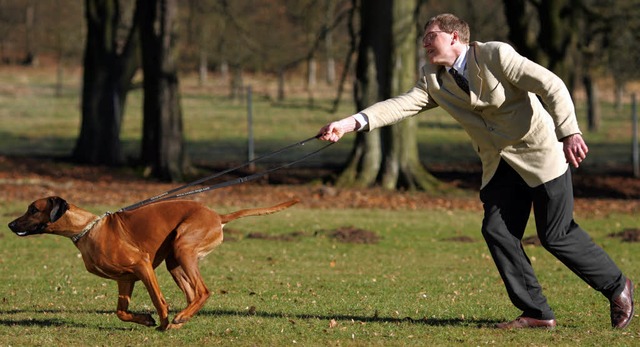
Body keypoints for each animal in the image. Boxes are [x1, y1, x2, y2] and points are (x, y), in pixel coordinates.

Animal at [8, 197, 298, 330]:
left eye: (33, 209)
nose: (10, 224)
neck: (87, 230)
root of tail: (217, 215)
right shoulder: (125, 279)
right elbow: (121, 311)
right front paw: (146, 320)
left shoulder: (142, 265)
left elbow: (158, 300)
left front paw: (162, 322)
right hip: (175, 261)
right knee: (193, 294)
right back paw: (183, 318)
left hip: (183, 248)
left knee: (203, 291)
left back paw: (179, 318)